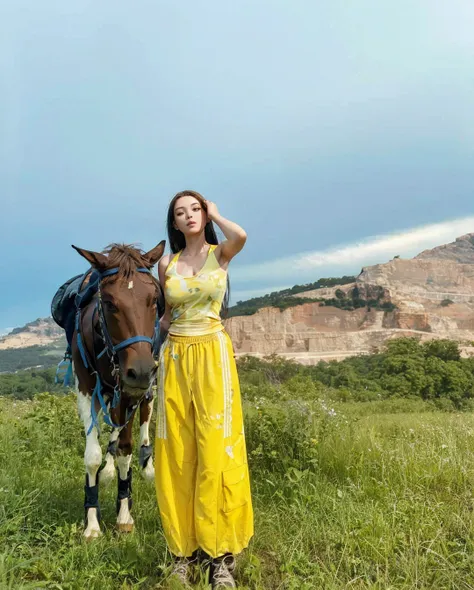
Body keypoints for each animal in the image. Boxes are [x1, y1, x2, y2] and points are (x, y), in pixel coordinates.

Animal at [71, 242, 165, 540]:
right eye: (110, 303)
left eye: (154, 300)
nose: (141, 370)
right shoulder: (86, 389)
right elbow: (92, 456)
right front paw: (91, 522)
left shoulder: (130, 392)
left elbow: (125, 449)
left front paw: (124, 513)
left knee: (143, 421)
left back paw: (146, 465)